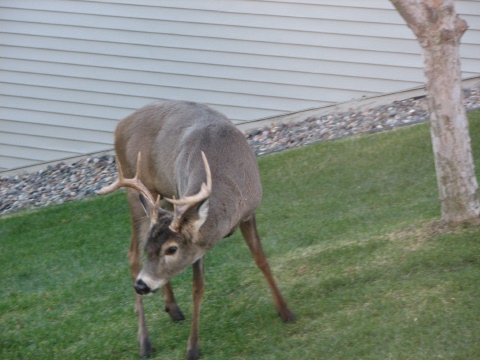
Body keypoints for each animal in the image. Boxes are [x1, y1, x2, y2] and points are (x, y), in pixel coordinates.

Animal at [97, 100, 294, 358]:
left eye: (171, 249)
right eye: (154, 248)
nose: (141, 285)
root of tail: (120, 125)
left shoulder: (248, 213)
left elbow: (261, 259)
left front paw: (286, 311)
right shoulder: (196, 237)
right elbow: (198, 287)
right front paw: (192, 348)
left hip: (164, 199)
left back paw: (173, 309)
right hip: (135, 192)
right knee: (132, 255)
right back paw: (144, 342)